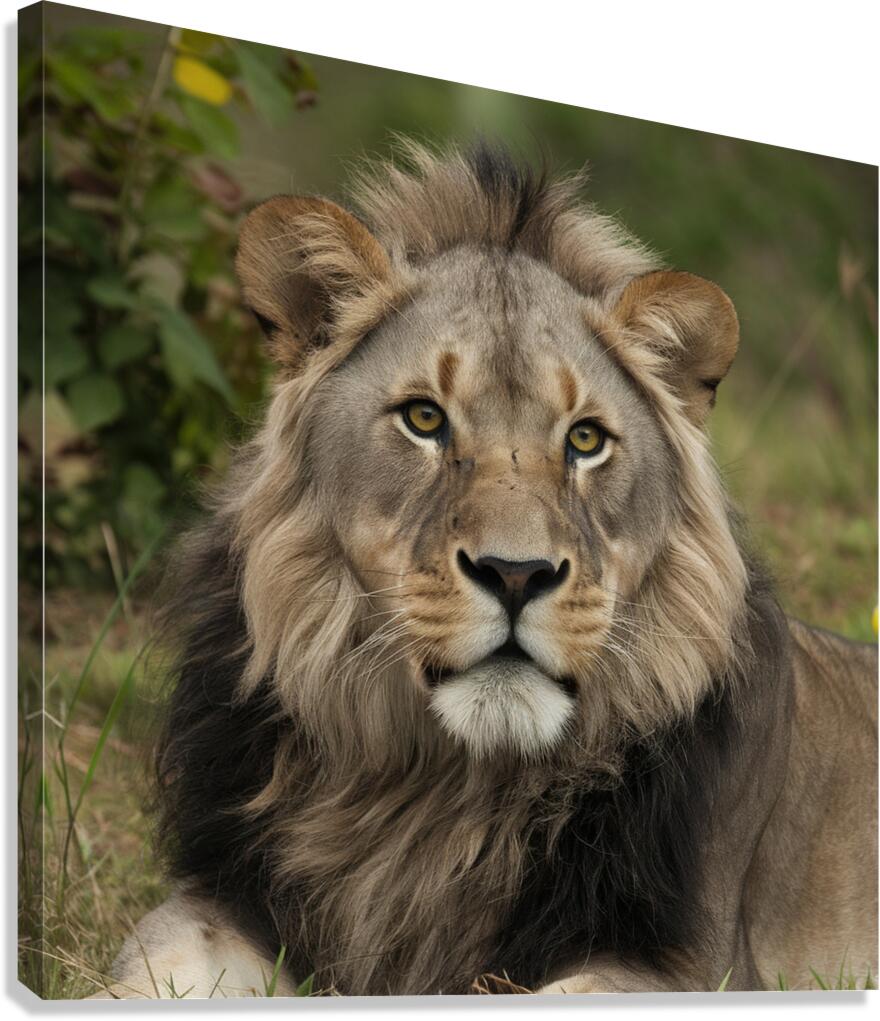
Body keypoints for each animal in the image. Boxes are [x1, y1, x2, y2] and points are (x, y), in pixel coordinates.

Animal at [97, 142, 877, 998]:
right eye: (424, 417)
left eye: (585, 439)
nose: (515, 573)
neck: (439, 793)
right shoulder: (220, 899)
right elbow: (141, 974)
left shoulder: (689, 965)